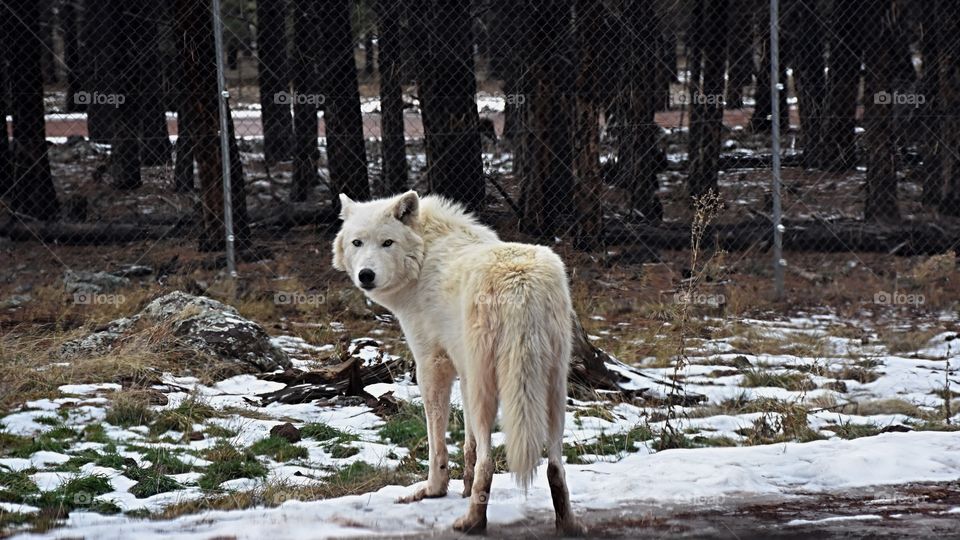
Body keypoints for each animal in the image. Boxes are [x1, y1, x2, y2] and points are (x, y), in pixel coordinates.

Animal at [332, 191, 582, 535]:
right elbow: (469, 444)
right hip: (552, 388)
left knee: (490, 462)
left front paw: (433, 489)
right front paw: (463, 487)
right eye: (357, 242)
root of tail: (521, 284)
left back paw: (471, 522)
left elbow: (437, 439)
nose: (366, 275)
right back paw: (567, 524)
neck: (424, 256)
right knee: (555, 466)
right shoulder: (463, 369)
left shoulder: (432, 364)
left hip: (488, 387)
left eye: (387, 243)